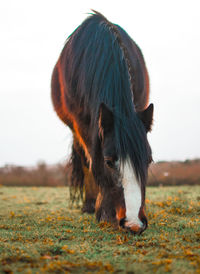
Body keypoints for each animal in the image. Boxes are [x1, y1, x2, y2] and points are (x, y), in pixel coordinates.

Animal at [51, 10, 153, 233]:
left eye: (149, 161)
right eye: (108, 161)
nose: (134, 224)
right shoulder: (81, 125)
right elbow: (91, 161)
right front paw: (102, 211)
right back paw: (89, 205)